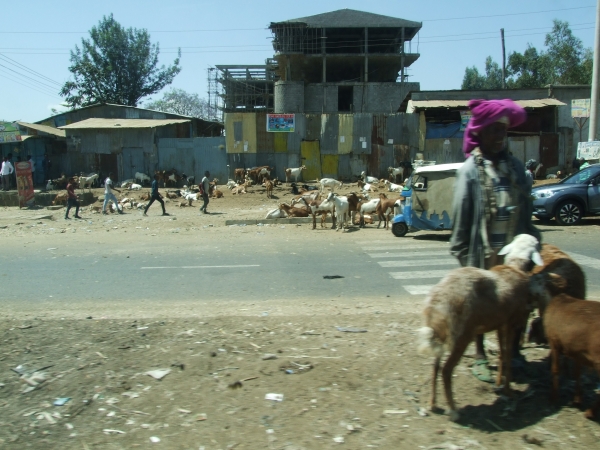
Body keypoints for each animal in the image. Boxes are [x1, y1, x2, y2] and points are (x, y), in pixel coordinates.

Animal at [418, 234, 544, 420]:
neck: (515, 267)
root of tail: (439, 299)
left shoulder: (500, 322)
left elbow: (502, 353)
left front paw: (499, 383)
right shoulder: (512, 322)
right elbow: (507, 354)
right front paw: (509, 391)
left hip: (442, 333)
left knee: (435, 366)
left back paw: (432, 403)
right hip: (462, 335)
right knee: (446, 370)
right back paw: (453, 410)